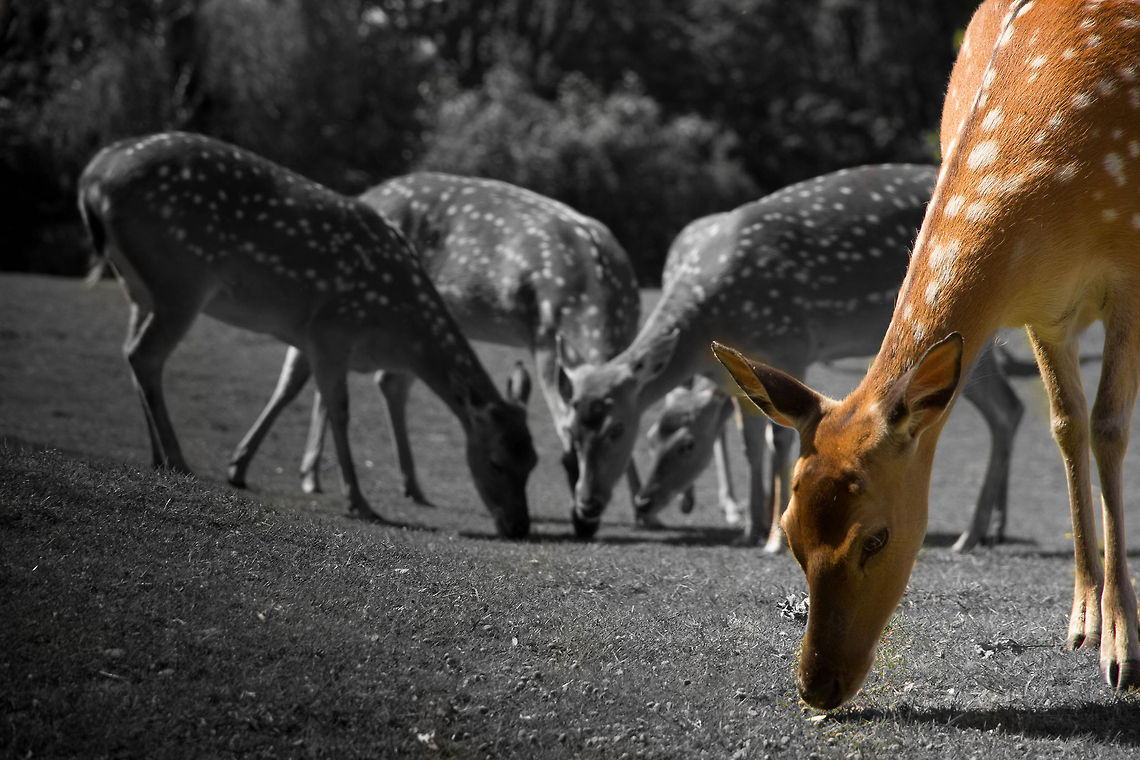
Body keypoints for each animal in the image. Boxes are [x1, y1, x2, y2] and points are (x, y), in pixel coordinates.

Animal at [77, 133, 537, 538]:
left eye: (532, 460)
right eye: (495, 462)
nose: (519, 527)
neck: (398, 332)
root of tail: (93, 176)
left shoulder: (307, 335)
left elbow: (289, 389)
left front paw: (239, 467)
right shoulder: (333, 328)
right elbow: (339, 408)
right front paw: (359, 502)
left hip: (139, 286)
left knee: (133, 352)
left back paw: (157, 456)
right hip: (182, 276)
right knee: (146, 354)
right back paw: (176, 458)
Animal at [225, 172, 642, 509]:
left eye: (620, 431)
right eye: (574, 436)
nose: (589, 502)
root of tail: (368, 193)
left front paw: (641, 506)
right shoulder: (543, 339)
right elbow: (557, 414)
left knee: (368, 381)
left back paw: (354, 479)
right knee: (313, 377)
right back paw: (276, 470)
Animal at [559, 162, 1023, 548]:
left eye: (619, 428)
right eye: (651, 434)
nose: (588, 504)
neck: (711, 324)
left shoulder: (789, 341)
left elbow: (779, 438)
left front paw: (772, 537)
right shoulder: (738, 375)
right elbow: (750, 442)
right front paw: (748, 529)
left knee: (1007, 409)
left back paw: (971, 535)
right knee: (1009, 408)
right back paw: (992, 529)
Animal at [713, 0, 1140, 709]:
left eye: (876, 537)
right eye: (792, 532)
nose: (817, 685)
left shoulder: (1128, 275)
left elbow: (1109, 428)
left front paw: (1122, 649)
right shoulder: (1044, 312)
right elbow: (1067, 425)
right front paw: (1083, 623)